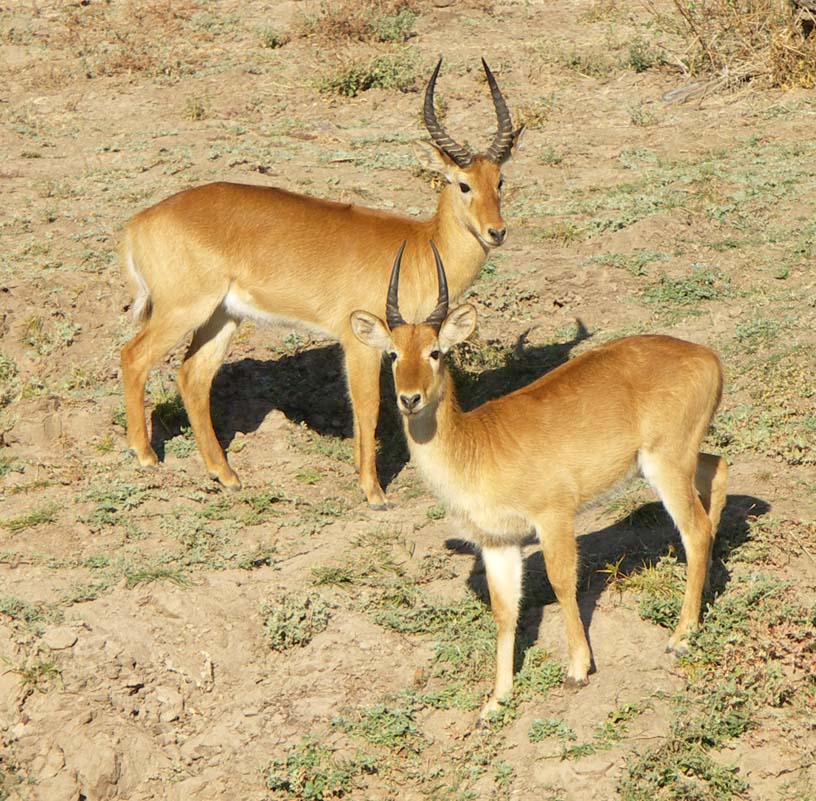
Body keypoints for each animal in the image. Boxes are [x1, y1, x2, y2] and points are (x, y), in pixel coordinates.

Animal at [119, 58, 524, 508]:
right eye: (463, 183)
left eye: (500, 181)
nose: (496, 232)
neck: (419, 245)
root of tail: (138, 224)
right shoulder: (362, 344)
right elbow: (368, 407)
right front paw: (374, 492)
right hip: (182, 310)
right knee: (132, 357)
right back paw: (147, 457)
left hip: (221, 316)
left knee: (192, 376)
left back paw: (226, 475)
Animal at [350, 242, 729, 718]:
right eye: (394, 354)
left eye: (436, 351)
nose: (409, 398)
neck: (477, 447)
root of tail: (708, 356)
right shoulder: (498, 542)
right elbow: (504, 610)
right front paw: (496, 700)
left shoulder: (553, 517)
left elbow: (562, 582)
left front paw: (578, 669)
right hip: (669, 461)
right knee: (719, 472)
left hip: (667, 465)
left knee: (695, 530)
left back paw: (680, 637)